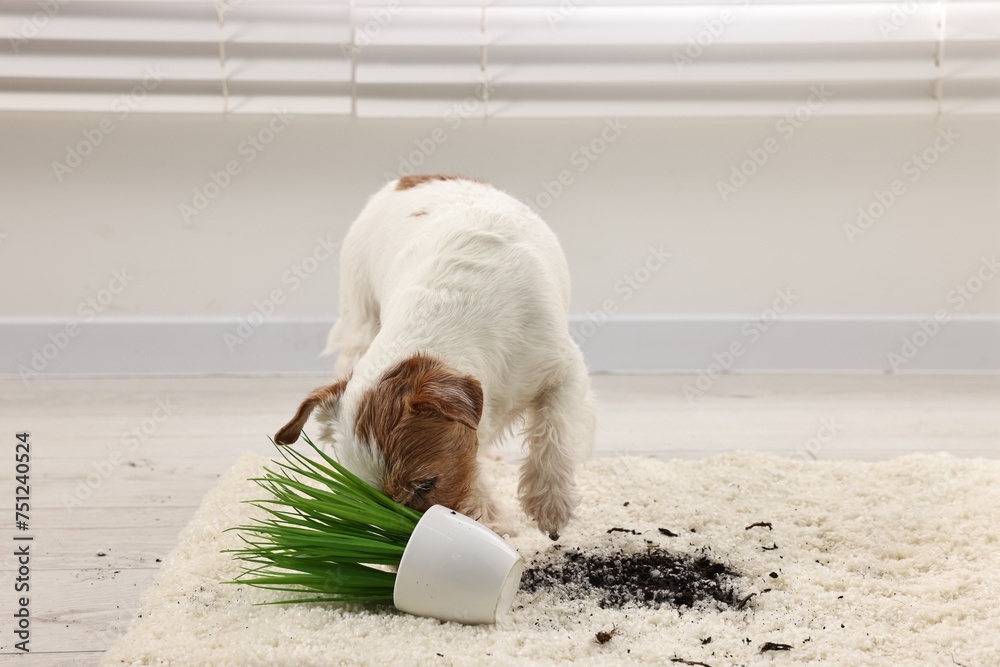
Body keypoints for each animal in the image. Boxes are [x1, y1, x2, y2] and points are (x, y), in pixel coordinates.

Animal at [276, 175, 592, 540]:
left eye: (426, 484)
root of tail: (409, 178)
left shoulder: (562, 372)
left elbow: (554, 437)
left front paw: (551, 508)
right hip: (359, 320)